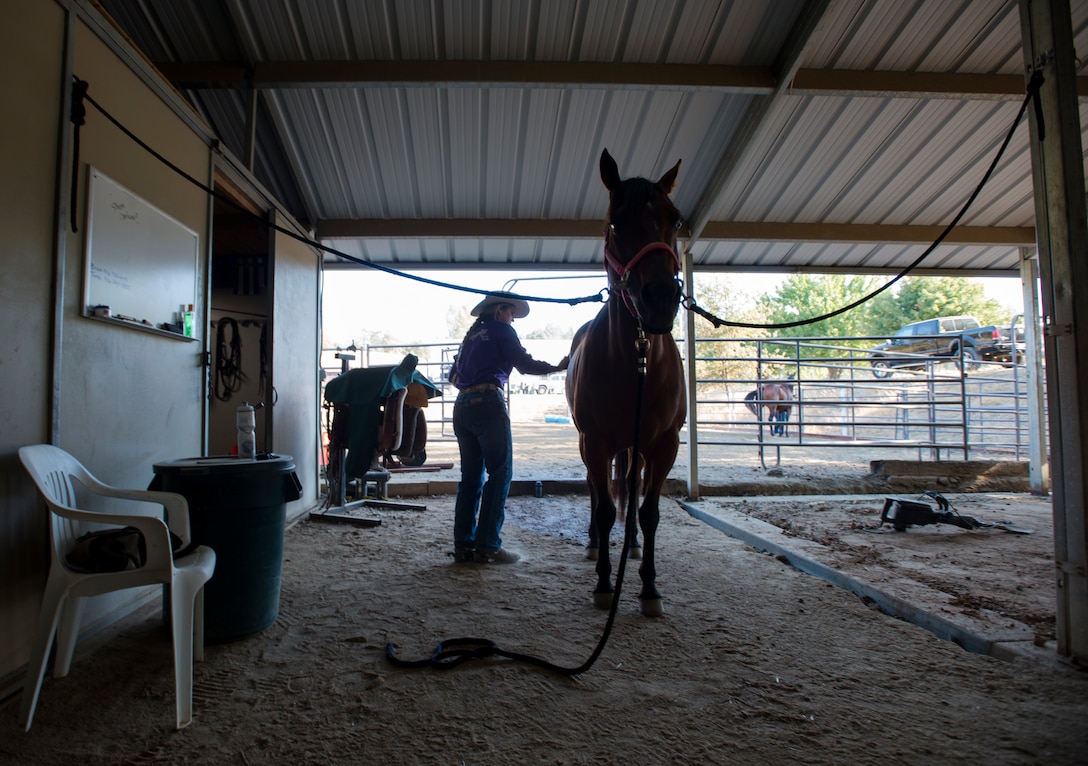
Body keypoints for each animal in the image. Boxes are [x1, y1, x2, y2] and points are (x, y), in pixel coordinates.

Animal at [564, 149, 687, 618]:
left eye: (675, 220)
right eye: (616, 223)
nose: (661, 299)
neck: (636, 358)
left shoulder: (665, 444)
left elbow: (649, 511)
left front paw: (649, 587)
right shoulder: (595, 441)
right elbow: (602, 508)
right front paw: (603, 583)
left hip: (634, 447)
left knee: (631, 491)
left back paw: (631, 544)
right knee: (596, 490)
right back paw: (595, 544)